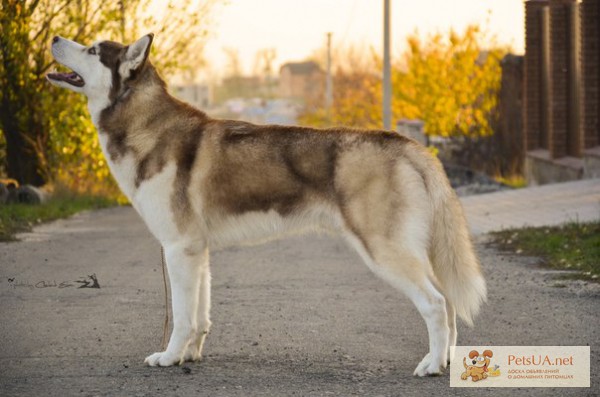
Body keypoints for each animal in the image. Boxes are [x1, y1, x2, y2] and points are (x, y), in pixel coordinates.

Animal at [48, 34, 488, 374]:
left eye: (92, 49)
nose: (52, 38)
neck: (145, 125)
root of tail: (408, 144)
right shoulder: (196, 251)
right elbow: (200, 316)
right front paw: (190, 355)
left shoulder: (177, 248)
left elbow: (181, 316)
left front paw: (170, 357)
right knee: (448, 301)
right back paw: (447, 361)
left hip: (384, 251)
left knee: (436, 303)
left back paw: (431, 365)